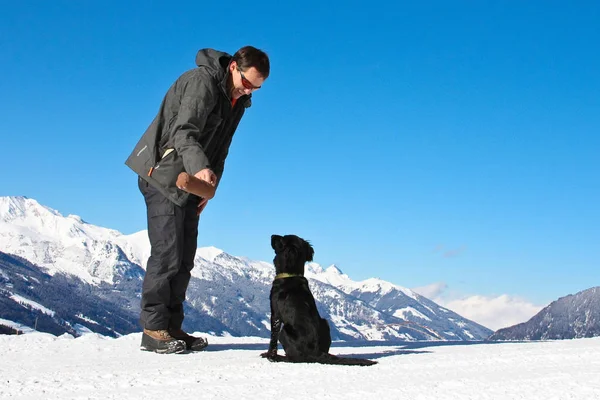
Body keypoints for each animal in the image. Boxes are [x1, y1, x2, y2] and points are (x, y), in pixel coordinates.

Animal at [262, 234, 378, 366]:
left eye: (281, 240)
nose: (272, 235)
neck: (291, 274)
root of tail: (317, 353)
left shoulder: (275, 313)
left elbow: (273, 338)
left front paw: (270, 355)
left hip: (285, 331)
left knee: (294, 358)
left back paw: (279, 357)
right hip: (325, 322)